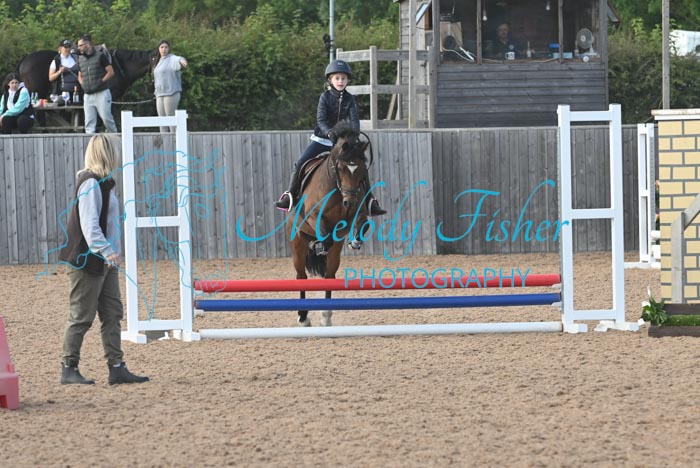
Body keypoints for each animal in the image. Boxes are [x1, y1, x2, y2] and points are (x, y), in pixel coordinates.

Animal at [287, 123, 374, 327]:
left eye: (362, 169)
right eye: (340, 168)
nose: (349, 202)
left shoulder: (356, 214)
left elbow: (362, 223)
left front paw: (355, 241)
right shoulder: (313, 216)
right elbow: (323, 232)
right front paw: (319, 245)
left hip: (334, 255)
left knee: (329, 275)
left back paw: (326, 316)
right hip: (297, 244)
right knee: (301, 276)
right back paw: (303, 317)